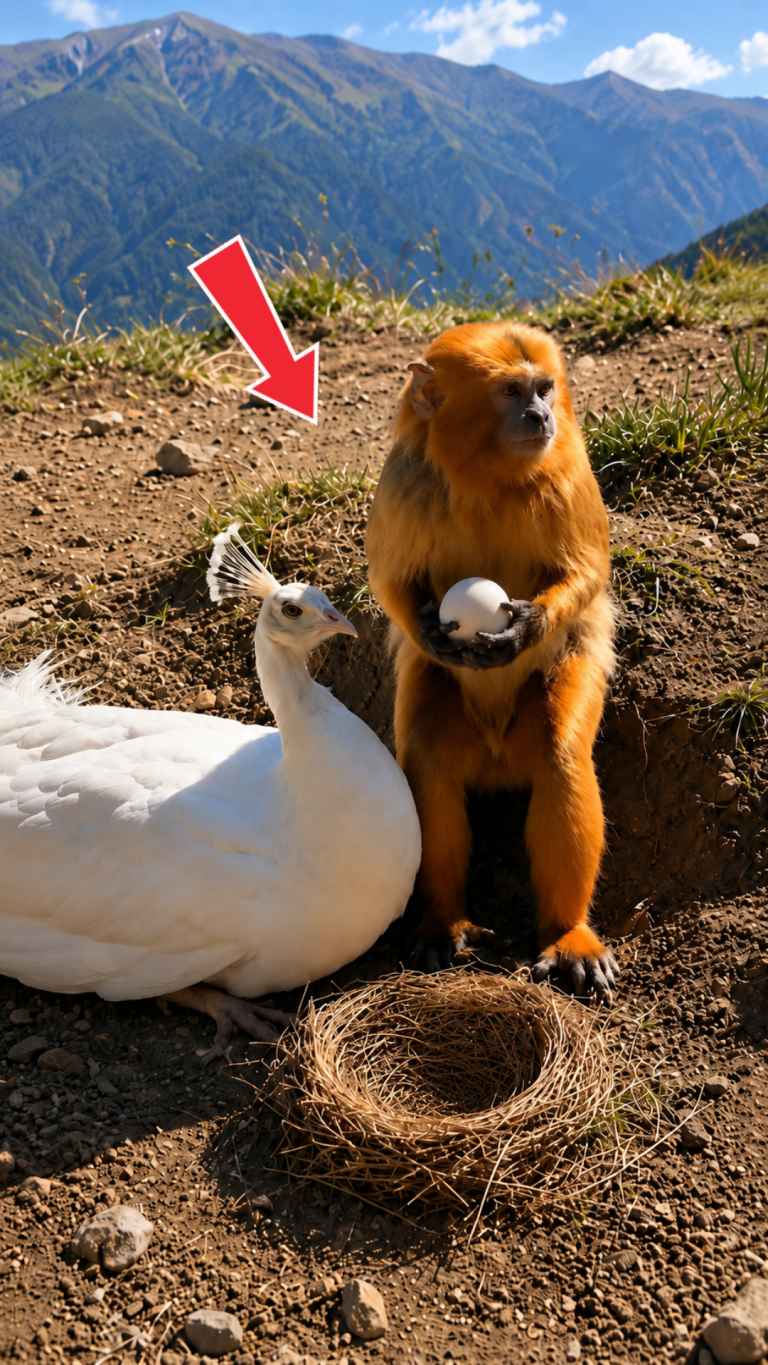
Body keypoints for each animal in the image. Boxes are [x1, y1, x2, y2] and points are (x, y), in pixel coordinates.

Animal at [366, 320, 618, 1000]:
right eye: (511, 392)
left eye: (544, 388)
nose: (540, 415)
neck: (488, 476)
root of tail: (499, 754)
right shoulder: (405, 481)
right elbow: (389, 579)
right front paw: (431, 632)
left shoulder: (570, 467)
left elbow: (590, 572)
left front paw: (525, 628)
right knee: (426, 759)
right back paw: (441, 917)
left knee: (559, 754)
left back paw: (568, 934)